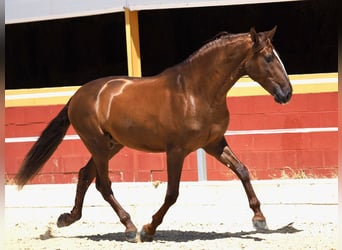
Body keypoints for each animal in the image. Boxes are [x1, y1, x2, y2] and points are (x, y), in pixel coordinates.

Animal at [15, 26, 292, 242]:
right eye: (269, 58)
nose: (287, 93)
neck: (196, 91)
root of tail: (77, 95)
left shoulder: (213, 144)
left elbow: (243, 171)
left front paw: (259, 219)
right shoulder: (176, 151)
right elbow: (172, 193)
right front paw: (148, 229)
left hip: (111, 145)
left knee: (84, 175)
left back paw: (67, 218)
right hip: (98, 145)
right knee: (103, 185)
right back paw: (129, 228)